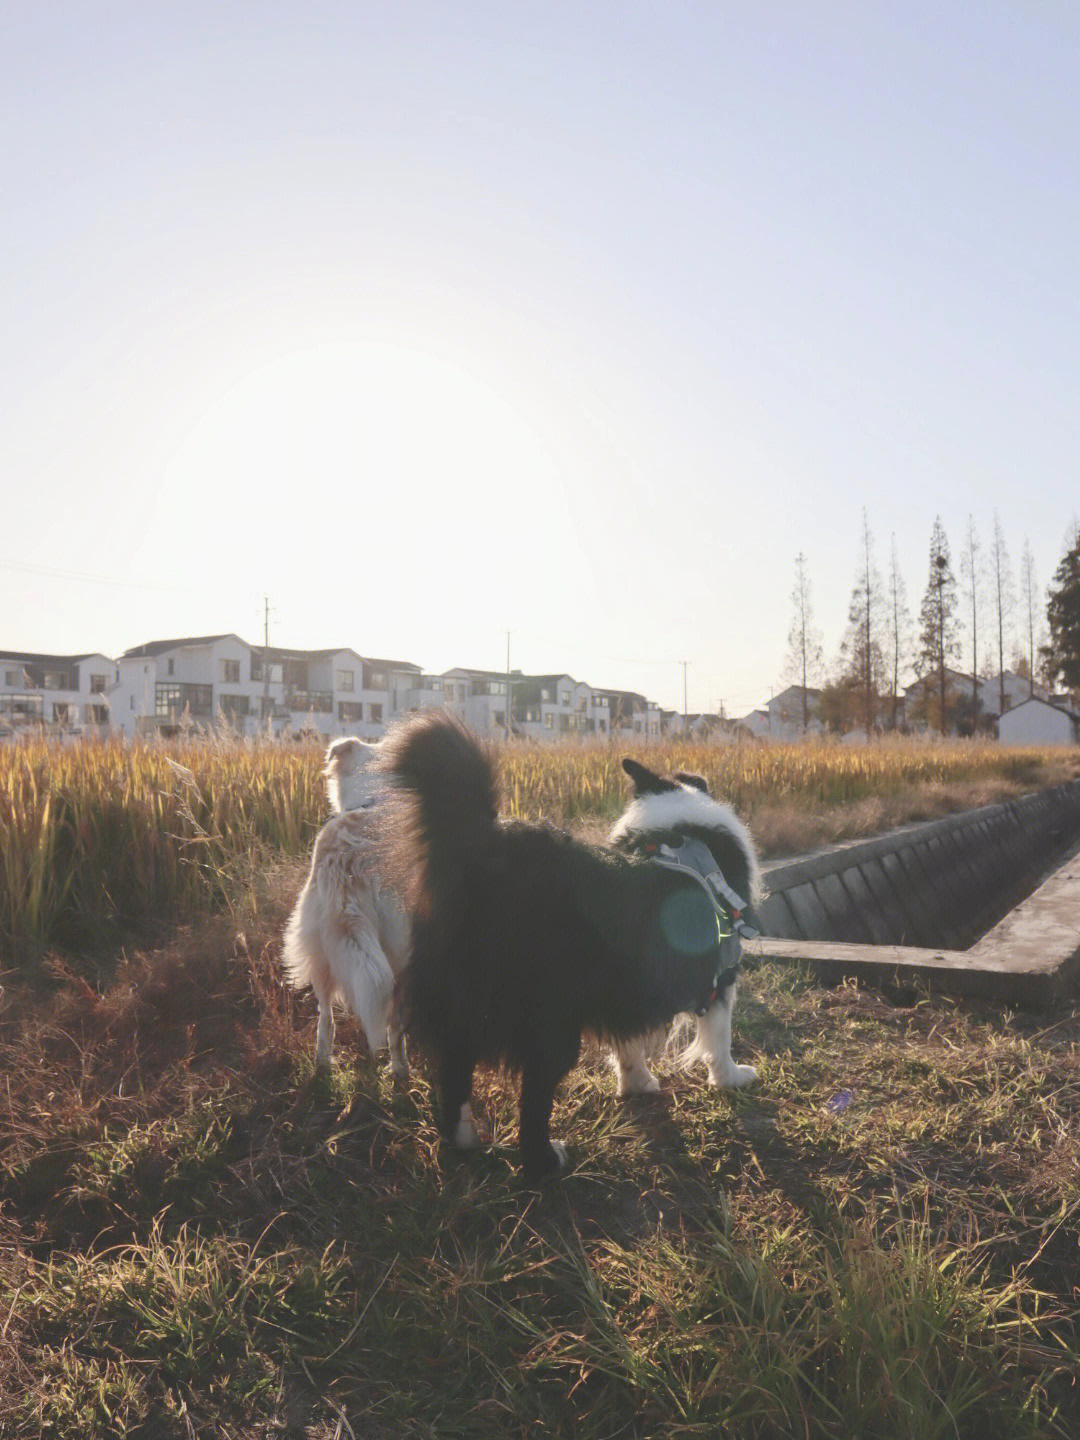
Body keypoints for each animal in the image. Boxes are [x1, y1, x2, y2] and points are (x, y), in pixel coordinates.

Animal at [283, 743, 408, 1071]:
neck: (372, 800)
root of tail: (349, 861)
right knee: (393, 1020)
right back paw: (397, 1068)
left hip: (319, 946)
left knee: (326, 1016)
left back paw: (325, 1062)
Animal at [380, 711, 760, 1180]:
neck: (680, 831)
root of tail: (480, 848)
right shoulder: (721, 975)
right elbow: (719, 1041)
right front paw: (731, 1078)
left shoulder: (630, 994)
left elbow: (629, 1045)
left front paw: (636, 1084)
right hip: (549, 1026)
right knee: (533, 1102)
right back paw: (546, 1160)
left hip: (460, 1006)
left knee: (455, 1073)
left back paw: (464, 1139)